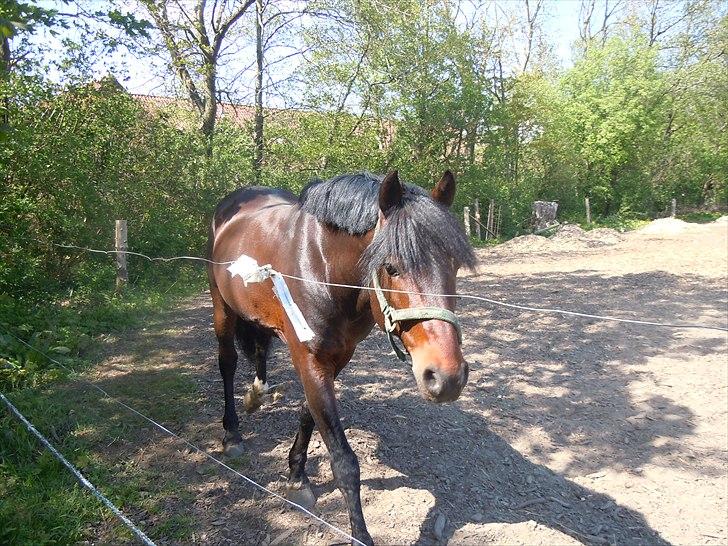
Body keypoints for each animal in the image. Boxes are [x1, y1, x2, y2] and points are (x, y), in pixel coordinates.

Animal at [206, 169, 478, 540]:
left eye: (454, 266)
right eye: (391, 267)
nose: (447, 377)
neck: (322, 267)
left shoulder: (336, 358)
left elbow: (308, 415)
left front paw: (296, 478)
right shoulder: (310, 359)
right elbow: (344, 461)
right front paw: (359, 535)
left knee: (259, 349)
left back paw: (257, 393)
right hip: (222, 307)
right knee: (228, 363)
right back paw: (232, 434)